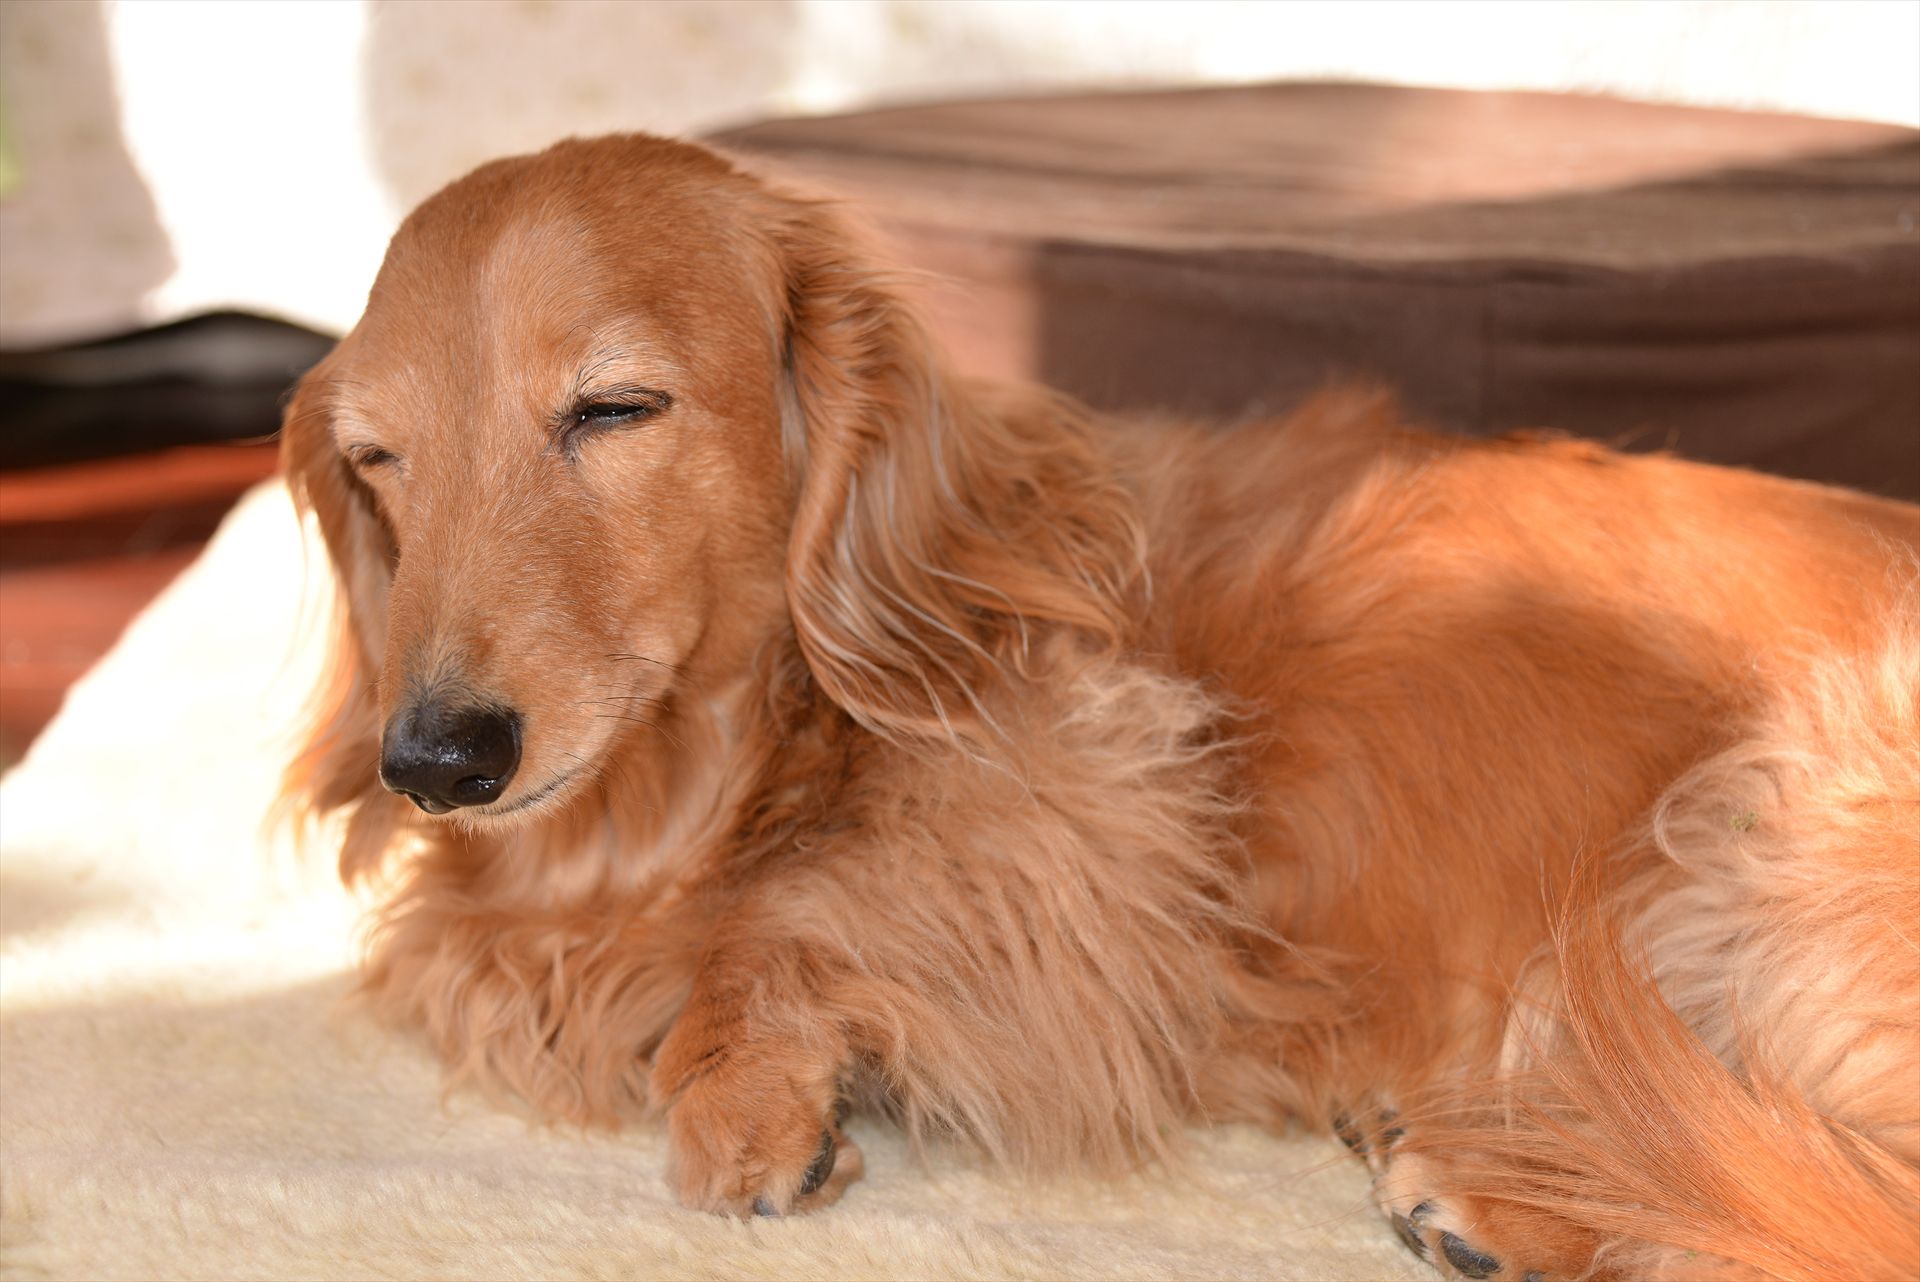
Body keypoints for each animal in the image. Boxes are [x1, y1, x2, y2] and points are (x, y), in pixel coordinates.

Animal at [279, 133, 1920, 1280]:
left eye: (615, 408)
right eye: (377, 460)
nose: (434, 761)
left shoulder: (1099, 818)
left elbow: (804, 900)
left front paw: (746, 1074)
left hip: (1757, 825)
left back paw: (1511, 1183)